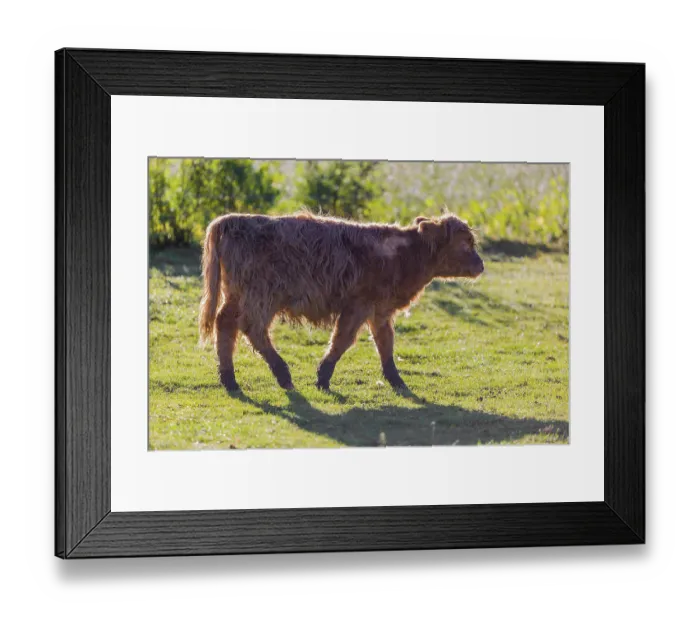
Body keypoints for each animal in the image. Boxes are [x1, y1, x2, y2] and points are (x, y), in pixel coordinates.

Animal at [198, 211, 484, 392]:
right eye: (466, 243)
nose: (481, 265)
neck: (405, 255)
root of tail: (231, 220)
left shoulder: (380, 309)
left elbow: (385, 343)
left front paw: (396, 380)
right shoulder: (358, 305)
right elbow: (343, 340)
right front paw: (322, 377)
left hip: (237, 294)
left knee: (225, 323)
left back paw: (229, 379)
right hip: (260, 295)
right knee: (252, 328)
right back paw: (282, 374)